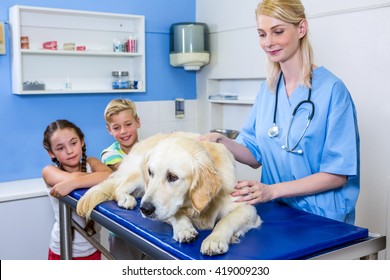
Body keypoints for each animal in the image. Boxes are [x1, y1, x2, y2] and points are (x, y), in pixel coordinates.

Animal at [76, 131, 260, 256]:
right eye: (151, 172)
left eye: (173, 176)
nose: (145, 209)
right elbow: (175, 214)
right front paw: (184, 228)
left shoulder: (246, 207)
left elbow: (225, 222)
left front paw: (214, 239)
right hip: (137, 176)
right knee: (117, 188)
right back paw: (126, 199)